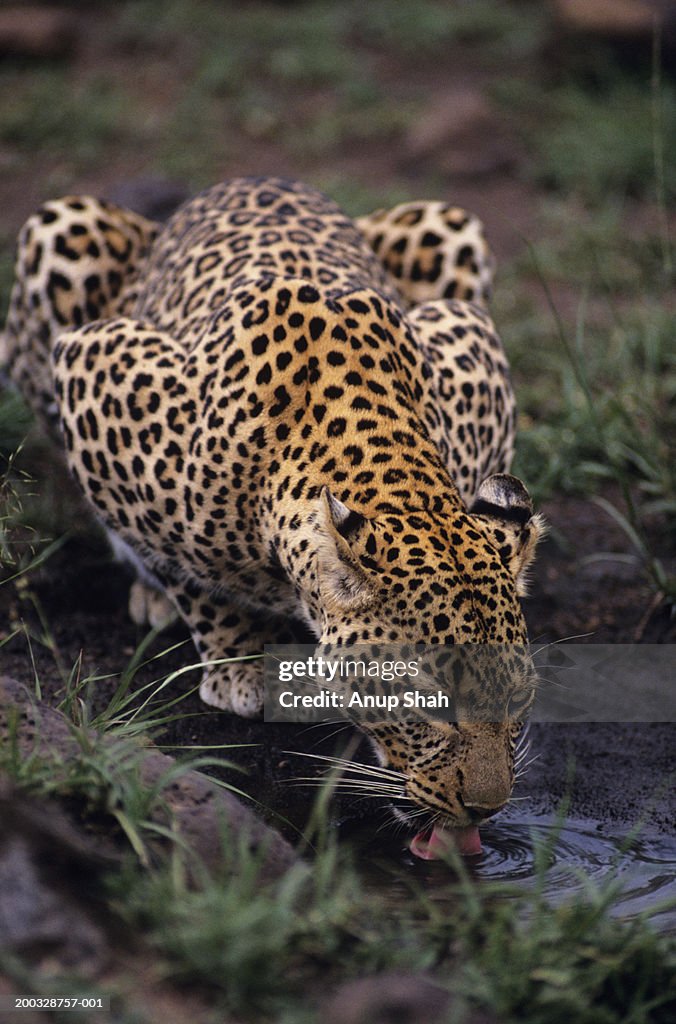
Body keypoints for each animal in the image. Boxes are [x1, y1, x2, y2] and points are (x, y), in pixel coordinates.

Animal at [2, 178, 544, 839]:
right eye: (430, 706)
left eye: (518, 702)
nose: (486, 809)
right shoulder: (94, 364)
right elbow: (187, 566)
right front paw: (238, 658)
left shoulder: (471, 345)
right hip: (56, 239)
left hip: (446, 227)